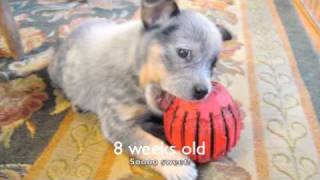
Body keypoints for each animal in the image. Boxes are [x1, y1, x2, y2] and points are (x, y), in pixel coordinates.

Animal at [9, 0, 232, 179]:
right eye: (184, 53)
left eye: (213, 64)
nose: (203, 92)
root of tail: (66, 38)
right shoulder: (117, 124)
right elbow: (148, 143)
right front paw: (180, 166)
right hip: (58, 73)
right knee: (51, 64)